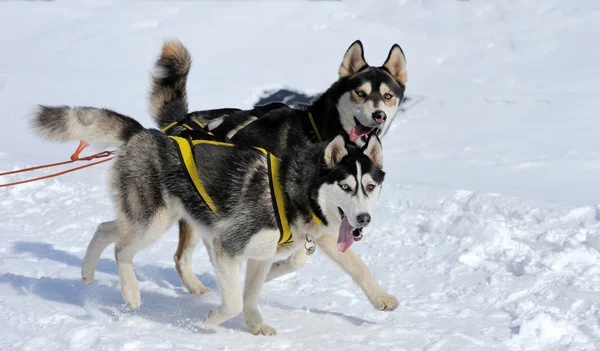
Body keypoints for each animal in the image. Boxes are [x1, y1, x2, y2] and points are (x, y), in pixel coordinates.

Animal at [28, 105, 384, 336]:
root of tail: (145, 133)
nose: (364, 219)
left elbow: (250, 296)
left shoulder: (260, 256)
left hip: (153, 216)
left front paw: (255, 325)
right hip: (153, 223)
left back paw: (87, 272)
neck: (291, 190)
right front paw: (212, 320)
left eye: (369, 187)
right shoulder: (227, 246)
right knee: (121, 250)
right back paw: (131, 292)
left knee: (105, 229)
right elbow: (234, 302)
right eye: (345, 186)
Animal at [149, 40, 408, 312]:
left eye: (388, 96)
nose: (379, 115)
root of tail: (182, 122)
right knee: (181, 257)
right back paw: (200, 288)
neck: (320, 133)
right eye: (361, 93)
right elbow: (333, 259)